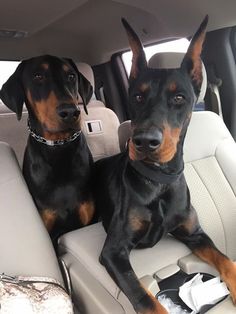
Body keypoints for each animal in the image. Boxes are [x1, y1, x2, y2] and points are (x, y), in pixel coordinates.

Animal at [93, 16, 236, 314]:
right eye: (137, 96)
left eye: (179, 97)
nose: (145, 141)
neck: (158, 182)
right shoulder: (114, 251)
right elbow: (144, 298)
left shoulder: (195, 233)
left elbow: (225, 260)